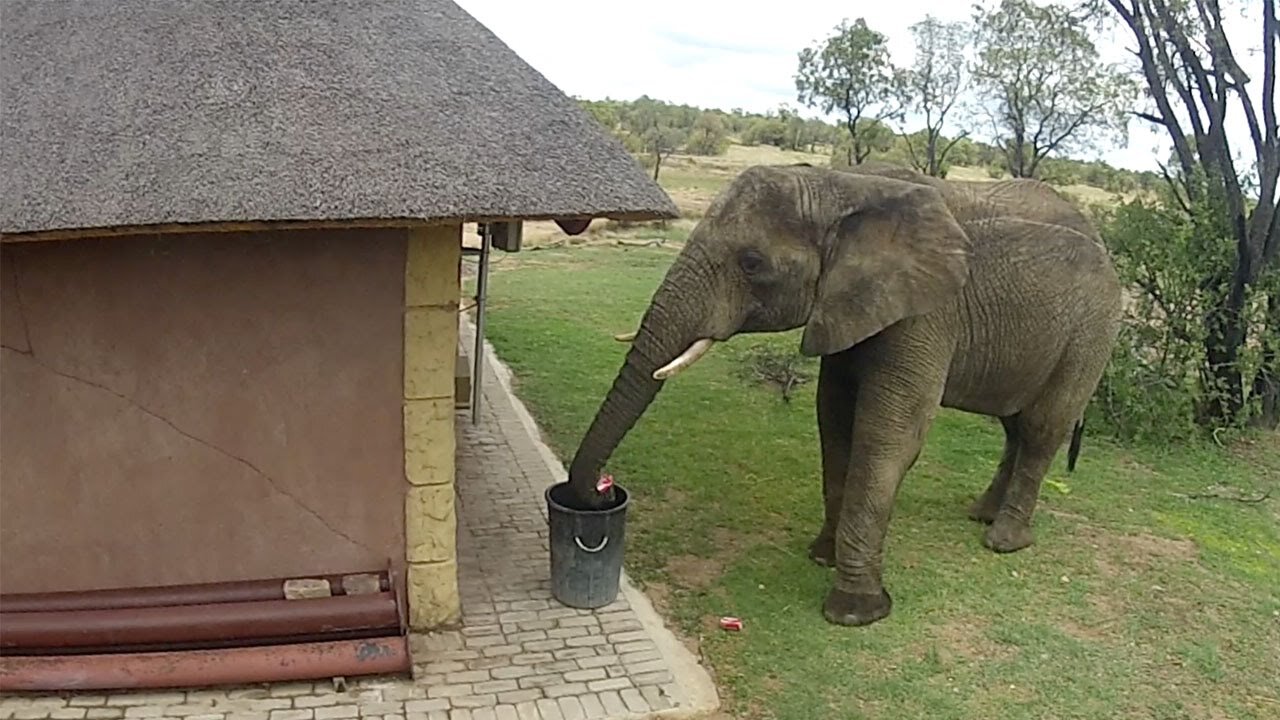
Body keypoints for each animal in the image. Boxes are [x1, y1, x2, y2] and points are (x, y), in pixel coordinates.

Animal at [568, 161, 1121, 622]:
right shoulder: (845, 309)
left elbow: (887, 437)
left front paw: (855, 612)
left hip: (1092, 334)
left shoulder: (923, 314)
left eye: (751, 262)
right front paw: (821, 557)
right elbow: (834, 422)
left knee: (1041, 427)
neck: (839, 186)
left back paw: (1003, 542)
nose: (602, 498)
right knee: (1013, 425)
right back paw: (981, 515)